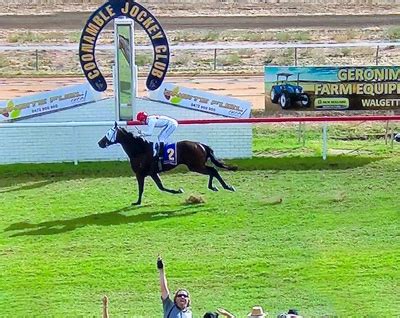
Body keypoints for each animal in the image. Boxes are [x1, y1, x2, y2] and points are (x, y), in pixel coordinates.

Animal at [98, 123, 236, 205]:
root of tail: (201, 145)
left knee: (213, 170)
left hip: (195, 166)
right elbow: (161, 187)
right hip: (197, 165)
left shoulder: (140, 174)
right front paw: (178, 190)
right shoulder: (152, 173)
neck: (140, 150)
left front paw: (137, 202)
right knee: (212, 170)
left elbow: (142, 188)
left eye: (108, 133)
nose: (100, 143)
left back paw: (226, 187)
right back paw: (215, 187)